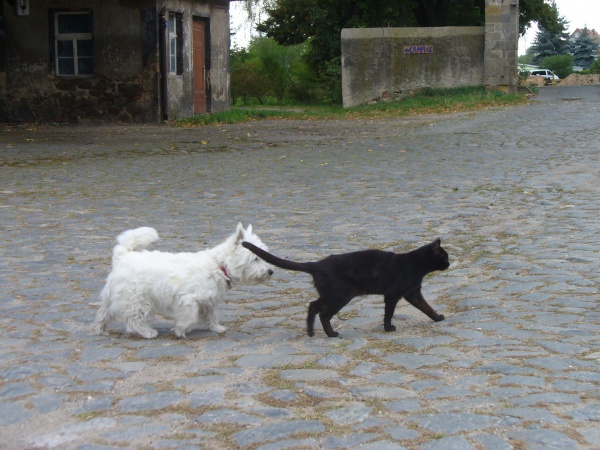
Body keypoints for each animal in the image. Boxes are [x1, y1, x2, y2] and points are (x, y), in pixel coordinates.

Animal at [92, 224, 273, 338]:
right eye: (255, 258)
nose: (271, 271)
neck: (218, 265)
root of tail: (122, 256)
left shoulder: (209, 300)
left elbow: (211, 315)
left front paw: (216, 327)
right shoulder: (188, 299)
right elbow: (191, 317)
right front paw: (180, 330)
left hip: (114, 297)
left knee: (103, 313)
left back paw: (100, 330)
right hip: (137, 299)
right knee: (133, 320)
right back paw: (147, 333)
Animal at [242, 238, 450, 337]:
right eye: (445, 257)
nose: (449, 263)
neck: (415, 265)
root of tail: (317, 264)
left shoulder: (413, 294)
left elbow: (427, 307)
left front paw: (437, 318)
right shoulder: (393, 295)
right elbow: (389, 313)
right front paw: (388, 328)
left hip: (330, 295)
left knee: (312, 305)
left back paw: (311, 332)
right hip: (339, 297)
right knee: (322, 313)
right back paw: (331, 334)